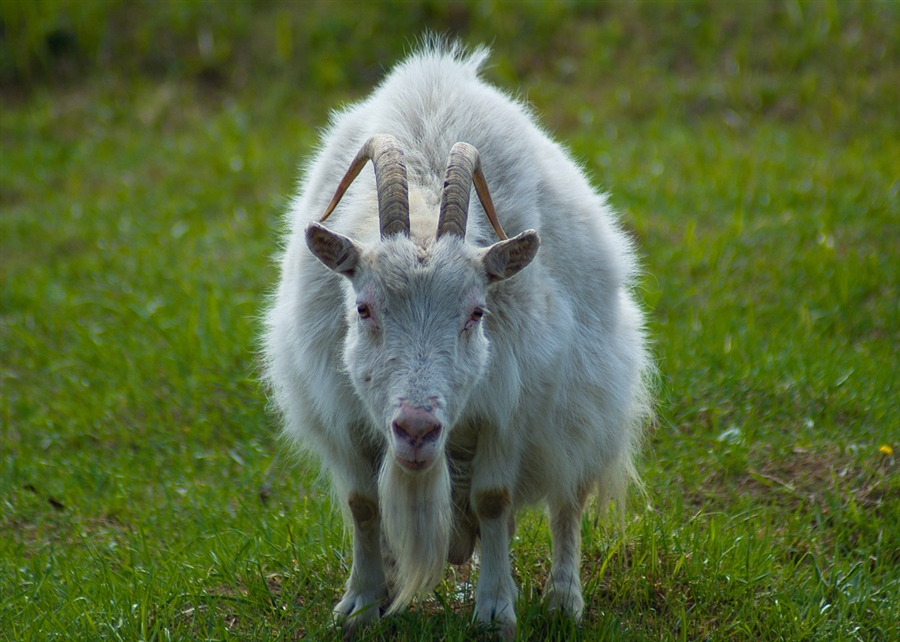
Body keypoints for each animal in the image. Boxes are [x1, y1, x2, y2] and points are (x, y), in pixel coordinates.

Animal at [264, 42, 652, 636]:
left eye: (476, 312)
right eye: (363, 308)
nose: (417, 430)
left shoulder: (509, 409)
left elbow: (494, 500)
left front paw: (495, 611)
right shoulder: (342, 416)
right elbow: (362, 504)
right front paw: (362, 603)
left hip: (586, 410)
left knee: (568, 500)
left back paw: (564, 599)